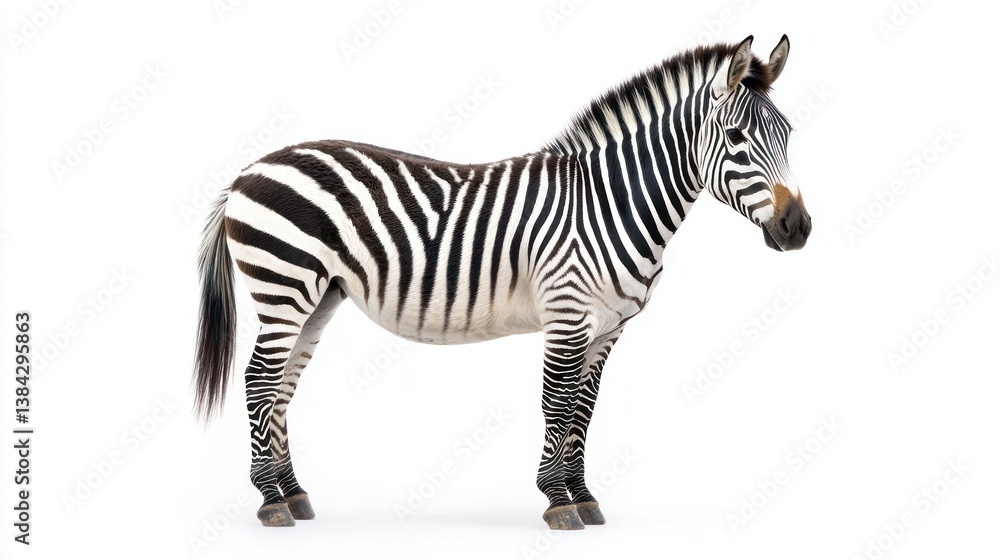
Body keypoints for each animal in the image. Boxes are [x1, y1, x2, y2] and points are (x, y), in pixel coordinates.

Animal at [193, 35, 811, 530]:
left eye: (789, 133)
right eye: (736, 136)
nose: (798, 228)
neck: (609, 203)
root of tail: (247, 171)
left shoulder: (609, 328)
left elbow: (584, 411)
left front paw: (583, 497)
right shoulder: (567, 315)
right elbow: (557, 405)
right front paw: (557, 501)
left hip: (318, 297)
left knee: (281, 387)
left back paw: (294, 493)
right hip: (284, 287)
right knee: (257, 382)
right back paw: (271, 501)